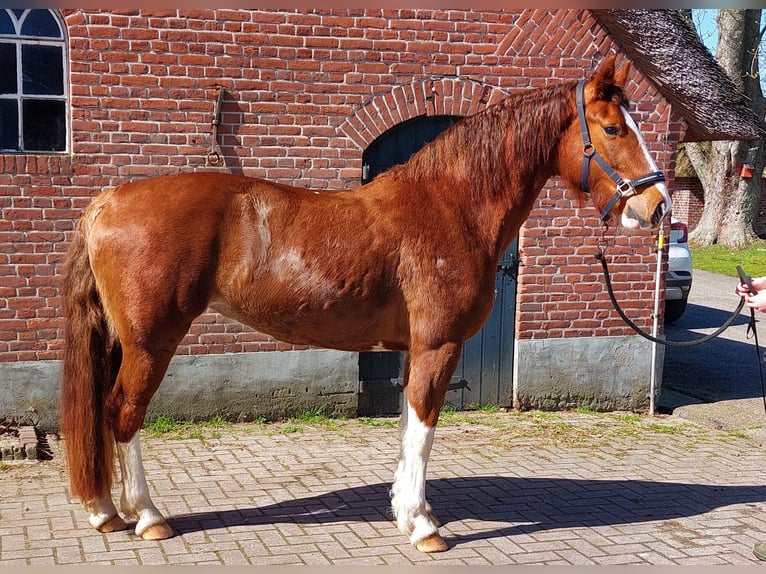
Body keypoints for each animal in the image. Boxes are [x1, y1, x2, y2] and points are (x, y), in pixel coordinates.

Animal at [60, 56, 671, 553]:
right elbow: (423, 429)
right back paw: (146, 517)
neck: (451, 205)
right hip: (151, 342)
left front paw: (404, 511)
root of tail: (108, 200)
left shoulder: (414, 349)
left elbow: (407, 429)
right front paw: (423, 527)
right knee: (122, 413)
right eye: (612, 128)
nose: (659, 207)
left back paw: (106, 512)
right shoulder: (439, 345)